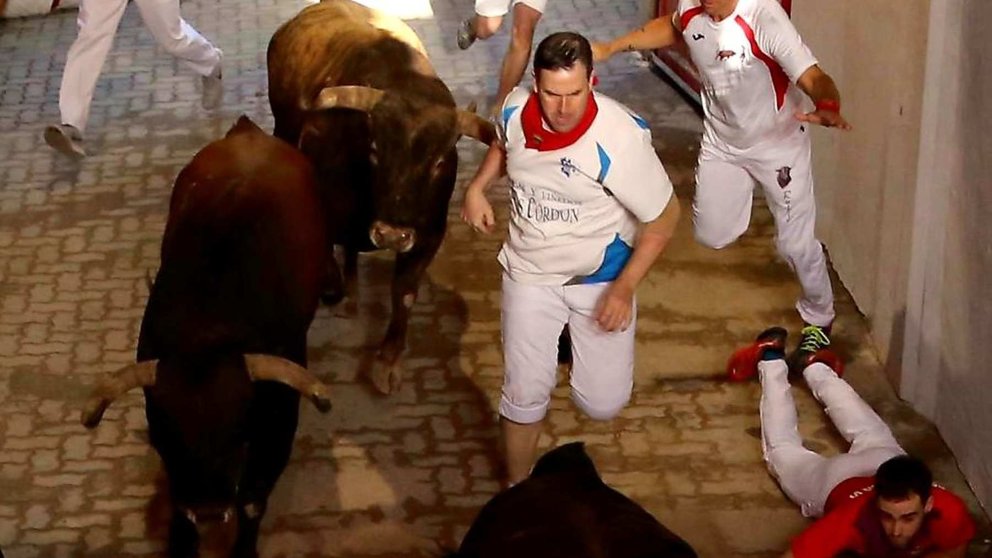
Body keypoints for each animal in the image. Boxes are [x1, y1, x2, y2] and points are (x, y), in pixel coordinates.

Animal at [80, 116, 334, 556]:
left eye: (237, 429)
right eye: (168, 431)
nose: (210, 511)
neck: (209, 324)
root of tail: (248, 132)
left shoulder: (277, 429)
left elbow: (252, 501)